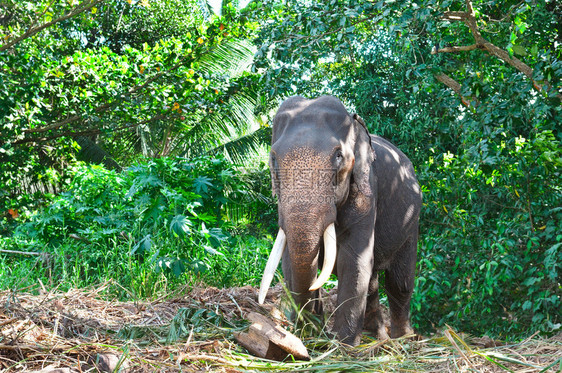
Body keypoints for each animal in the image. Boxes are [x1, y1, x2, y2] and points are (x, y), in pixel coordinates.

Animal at [258, 94, 420, 344]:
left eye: (338, 156)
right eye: (273, 158)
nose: (311, 327)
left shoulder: (367, 190)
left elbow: (353, 260)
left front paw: (342, 344)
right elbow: (287, 260)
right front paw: (307, 334)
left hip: (411, 223)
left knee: (399, 283)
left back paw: (402, 340)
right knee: (373, 282)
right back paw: (378, 337)